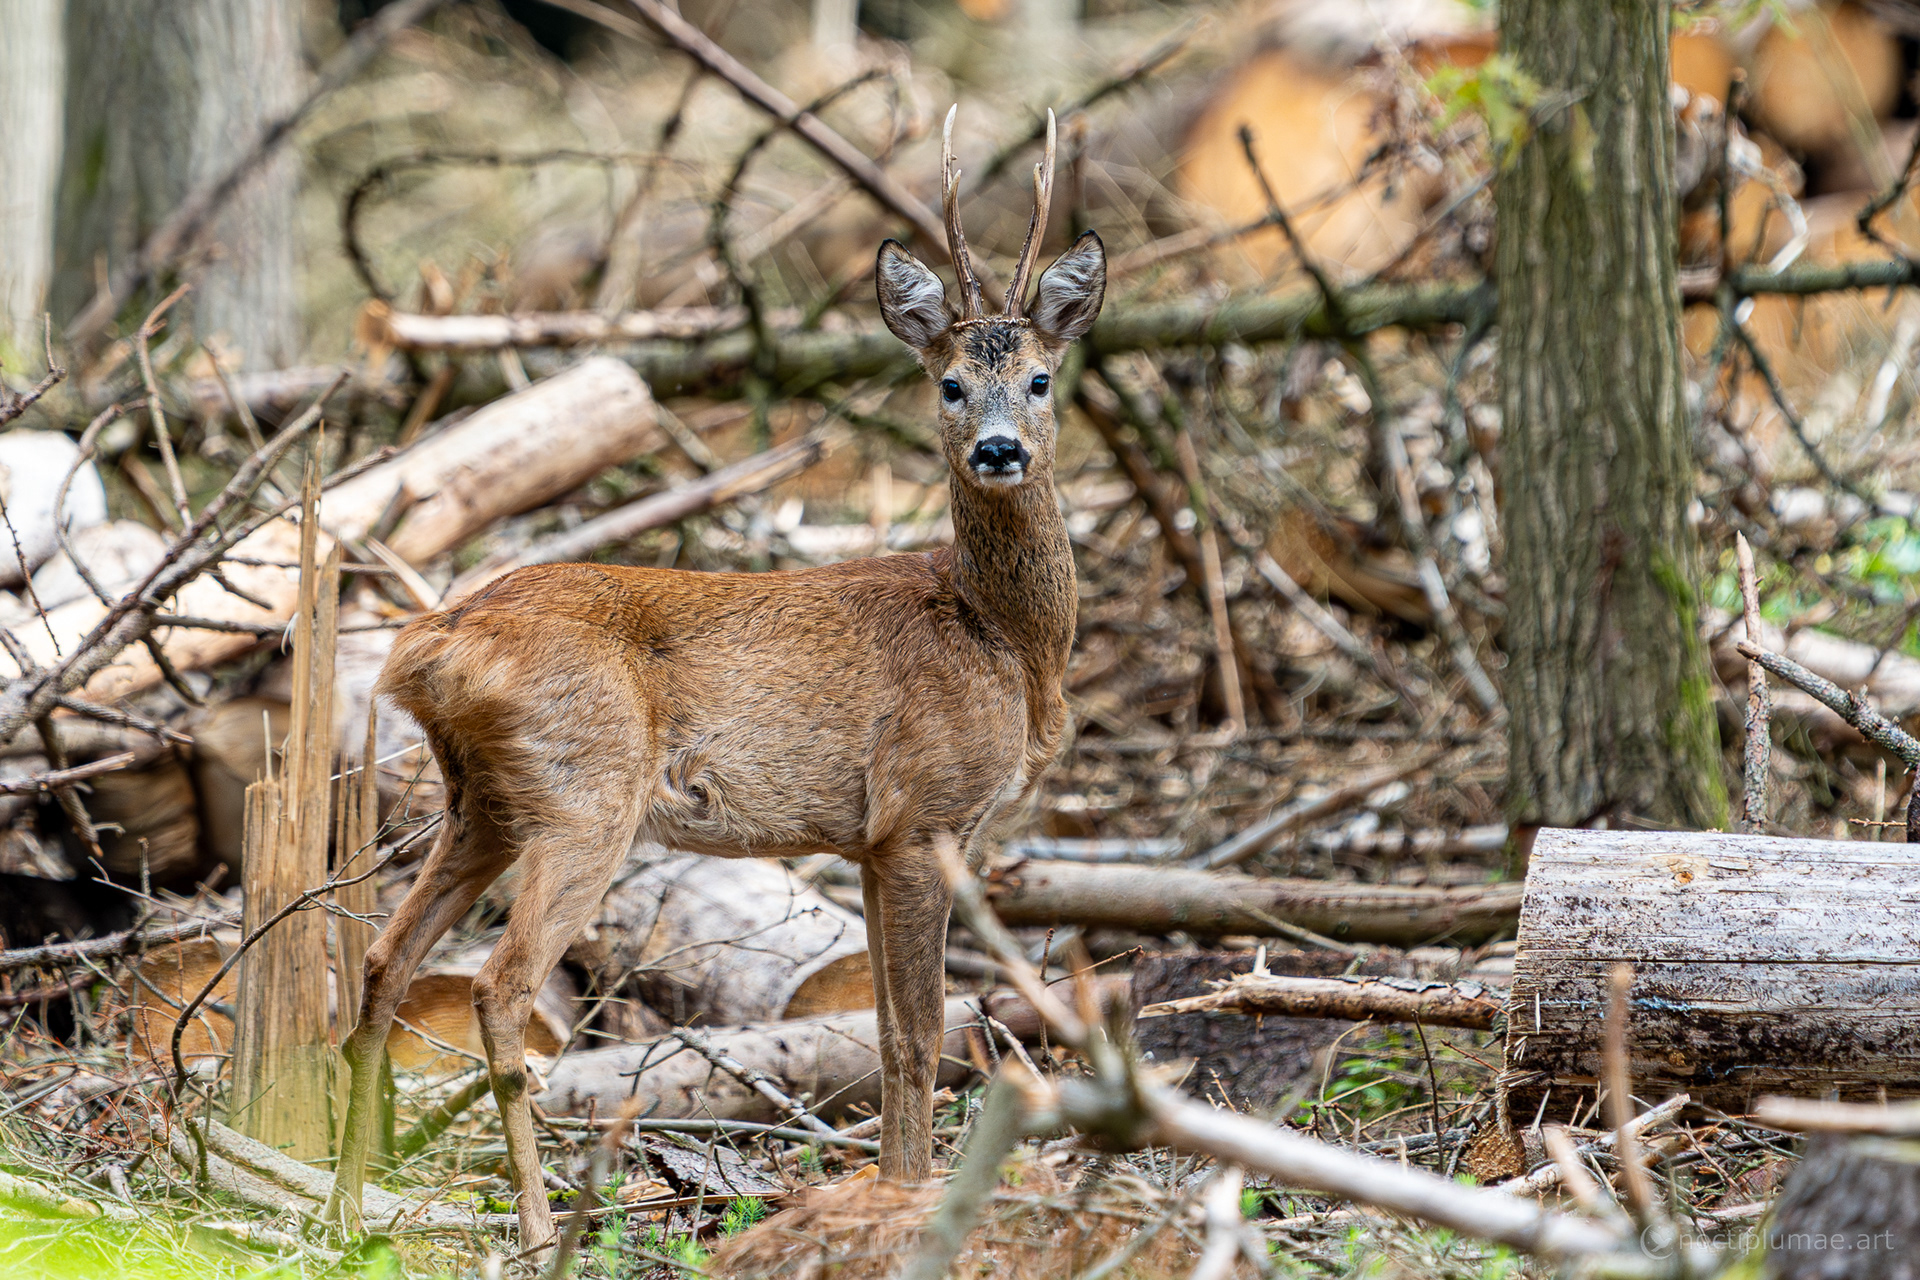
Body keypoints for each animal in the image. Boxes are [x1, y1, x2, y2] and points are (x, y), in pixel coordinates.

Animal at [324, 107, 1104, 1250]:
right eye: (950, 383)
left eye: (1042, 379)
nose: (1000, 449)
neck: (1001, 638)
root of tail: (432, 644)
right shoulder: (924, 814)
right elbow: (920, 1035)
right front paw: (912, 1204)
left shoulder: (870, 839)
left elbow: (879, 1027)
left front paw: (885, 1191)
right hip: (586, 796)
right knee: (502, 988)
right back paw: (537, 1230)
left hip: (484, 803)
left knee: (383, 963)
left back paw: (342, 1210)